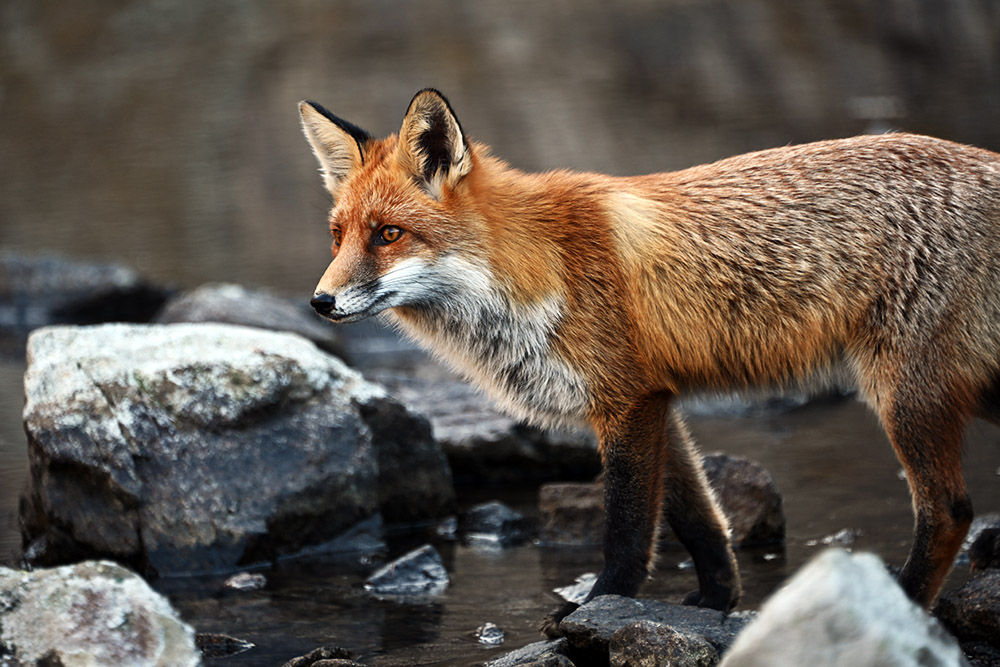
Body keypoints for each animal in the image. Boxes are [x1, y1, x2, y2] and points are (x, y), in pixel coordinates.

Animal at [299, 88, 1000, 635]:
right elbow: (700, 522)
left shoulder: (625, 401)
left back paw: (900, 605)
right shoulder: (657, 400)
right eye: (337, 236)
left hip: (904, 397)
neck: (535, 270)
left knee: (948, 512)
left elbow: (629, 526)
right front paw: (718, 601)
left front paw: (601, 604)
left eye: (389, 235)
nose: (320, 302)